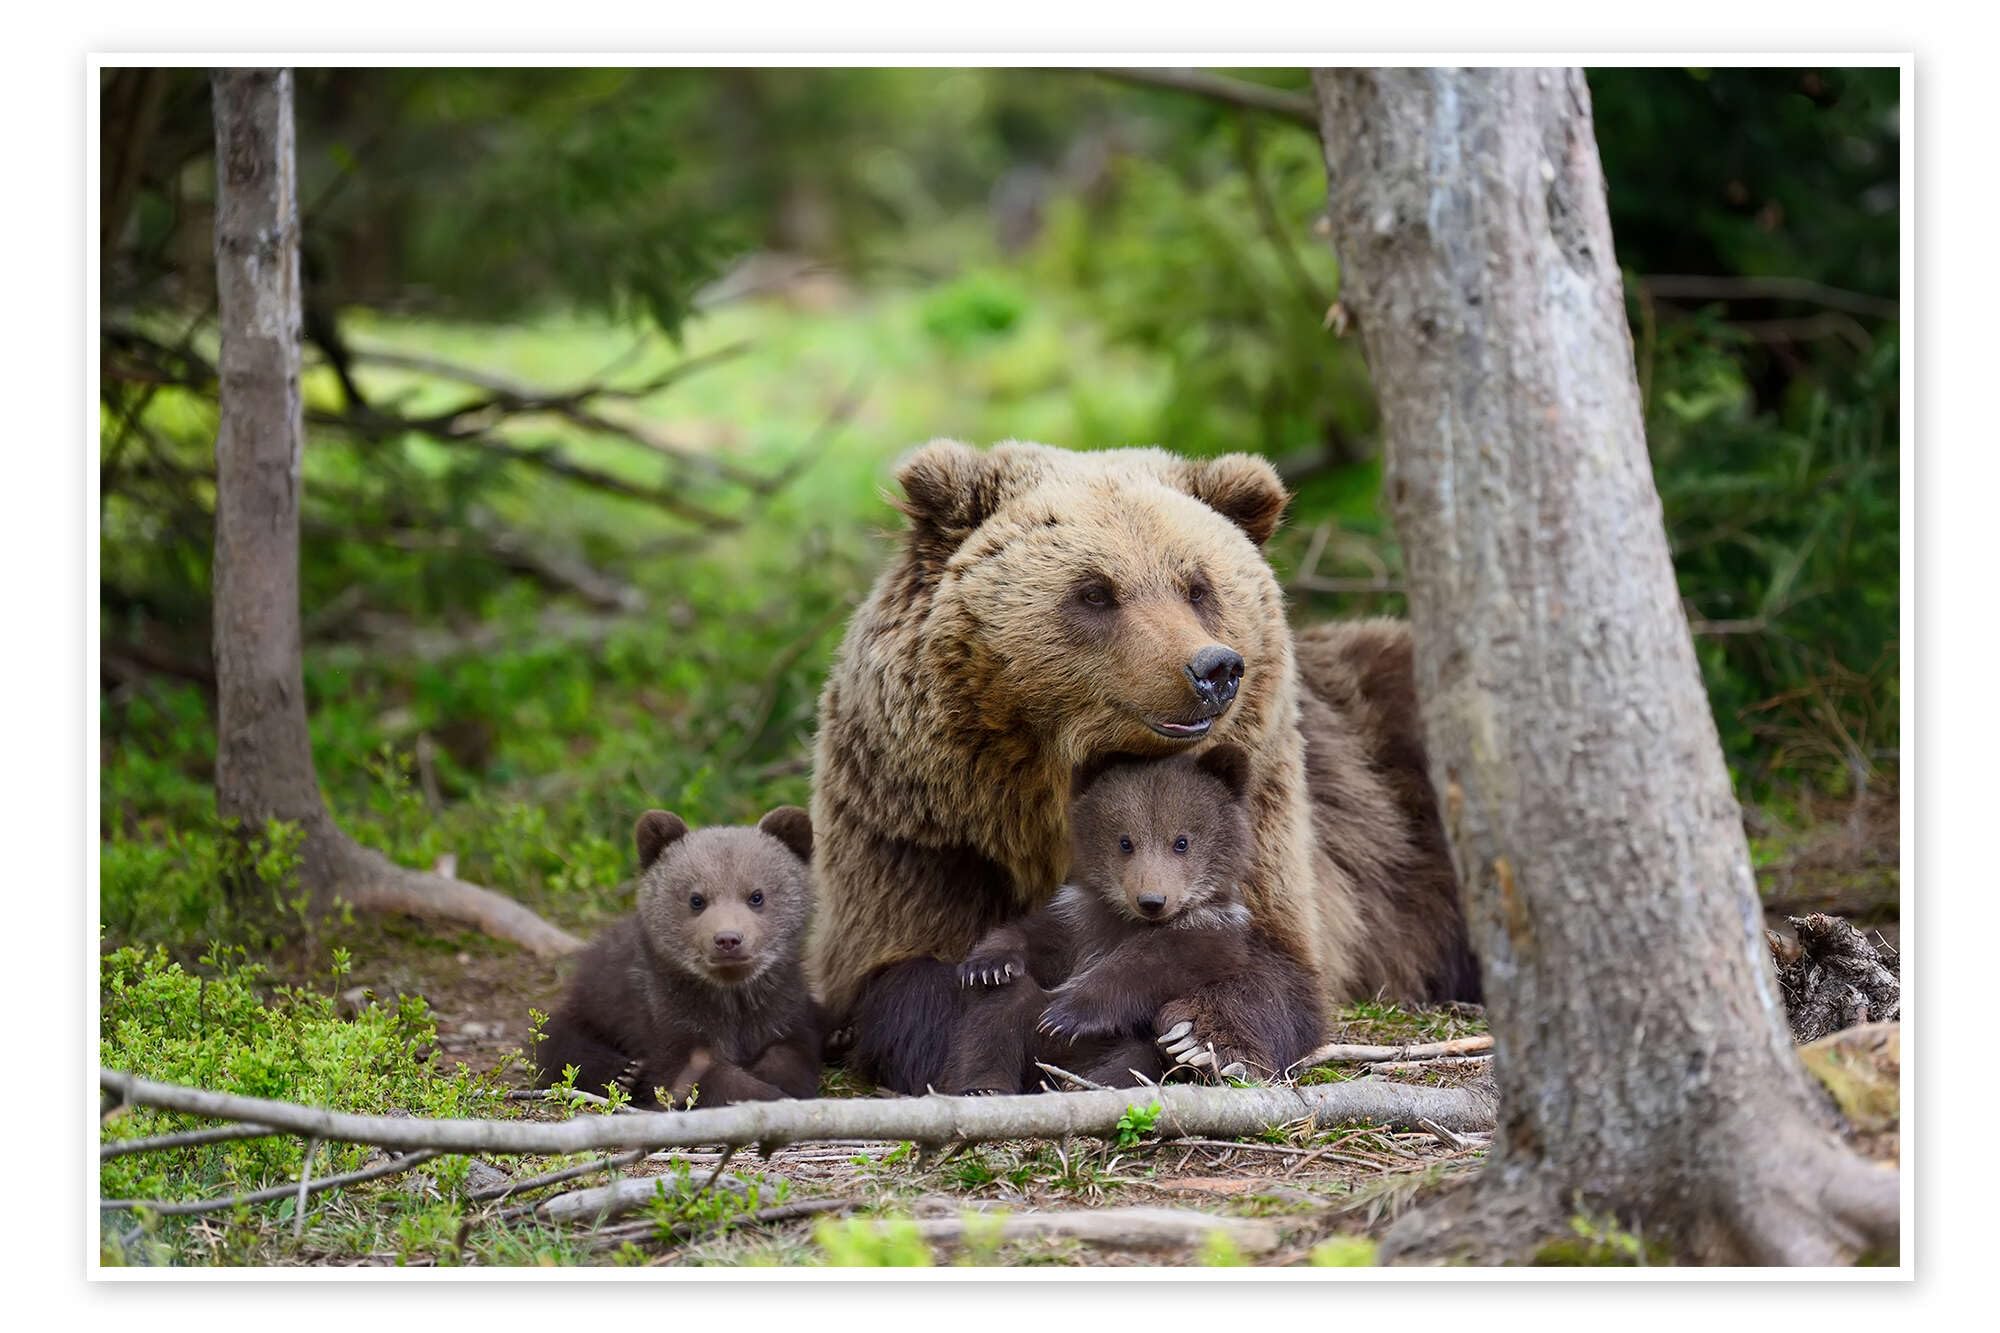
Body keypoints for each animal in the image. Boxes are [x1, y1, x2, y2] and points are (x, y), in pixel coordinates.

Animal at [536, 806, 823, 1109]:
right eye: (696, 899)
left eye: (756, 896)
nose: (728, 939)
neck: (731, 997)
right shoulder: (667, 1016)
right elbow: (695, 1075)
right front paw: (767, 1094)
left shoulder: (782, 1009)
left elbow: (792, 1054)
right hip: (593, 1003)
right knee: (564, 1044)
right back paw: (626, 1074)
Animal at [937, 743, 1323, 1094]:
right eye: (1125, 841)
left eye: (1181, 841)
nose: (1152, 900)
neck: (1130, 922)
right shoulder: (1079, 919)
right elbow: (1034, 938)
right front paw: (987, 963)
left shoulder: (1210, 933)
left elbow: (1149, 968)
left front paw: (1070, 1012)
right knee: (1000, 1009)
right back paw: (985, 1086)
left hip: (1118, 1042)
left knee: (1137, 1057)